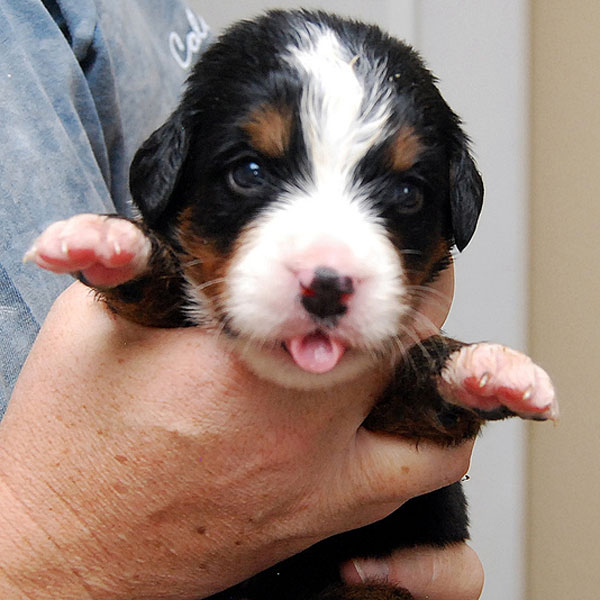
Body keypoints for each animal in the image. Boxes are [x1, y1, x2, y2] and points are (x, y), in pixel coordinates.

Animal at [25, 10, 556, 600]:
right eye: (250, 172)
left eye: (407, 193)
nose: (326, 285)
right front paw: (115, 244)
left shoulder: (414, 496)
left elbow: (416, 387)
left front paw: (484, 369)